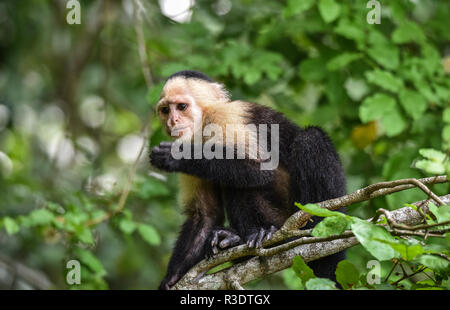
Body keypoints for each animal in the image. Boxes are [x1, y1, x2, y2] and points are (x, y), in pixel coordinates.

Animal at [151, 69, 348, 290]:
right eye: (165, 110)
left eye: (181, 107)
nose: (172, 121)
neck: (203, 124)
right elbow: (205, 215)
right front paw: (172, 278)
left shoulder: (226, 118)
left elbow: (259, 171)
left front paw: (178, 158)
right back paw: (237, 241)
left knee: (310, 138)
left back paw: (303, 231)